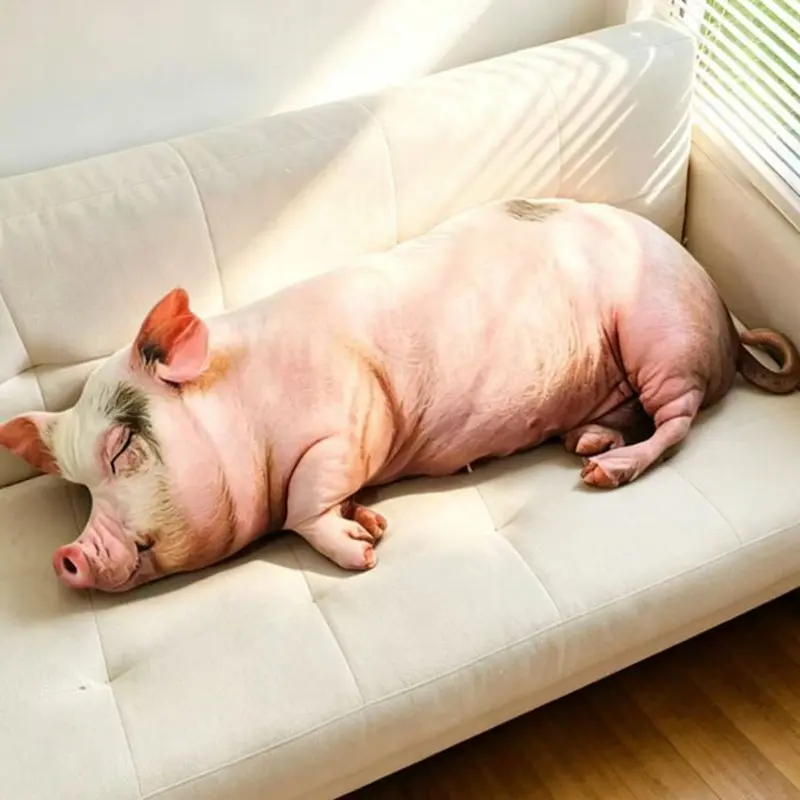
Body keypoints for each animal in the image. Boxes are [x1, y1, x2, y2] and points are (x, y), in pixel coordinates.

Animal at [1, 198, 798, 593]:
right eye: (77, 485)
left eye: (121, 449)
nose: (66, 556)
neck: (248, 413)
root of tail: (722, 308)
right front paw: (373, 524)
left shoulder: (350, 423)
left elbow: (303, 504)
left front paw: (364, 553)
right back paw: (587, 441)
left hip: (661, 339)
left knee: (680, 421)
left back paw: (603, 471)